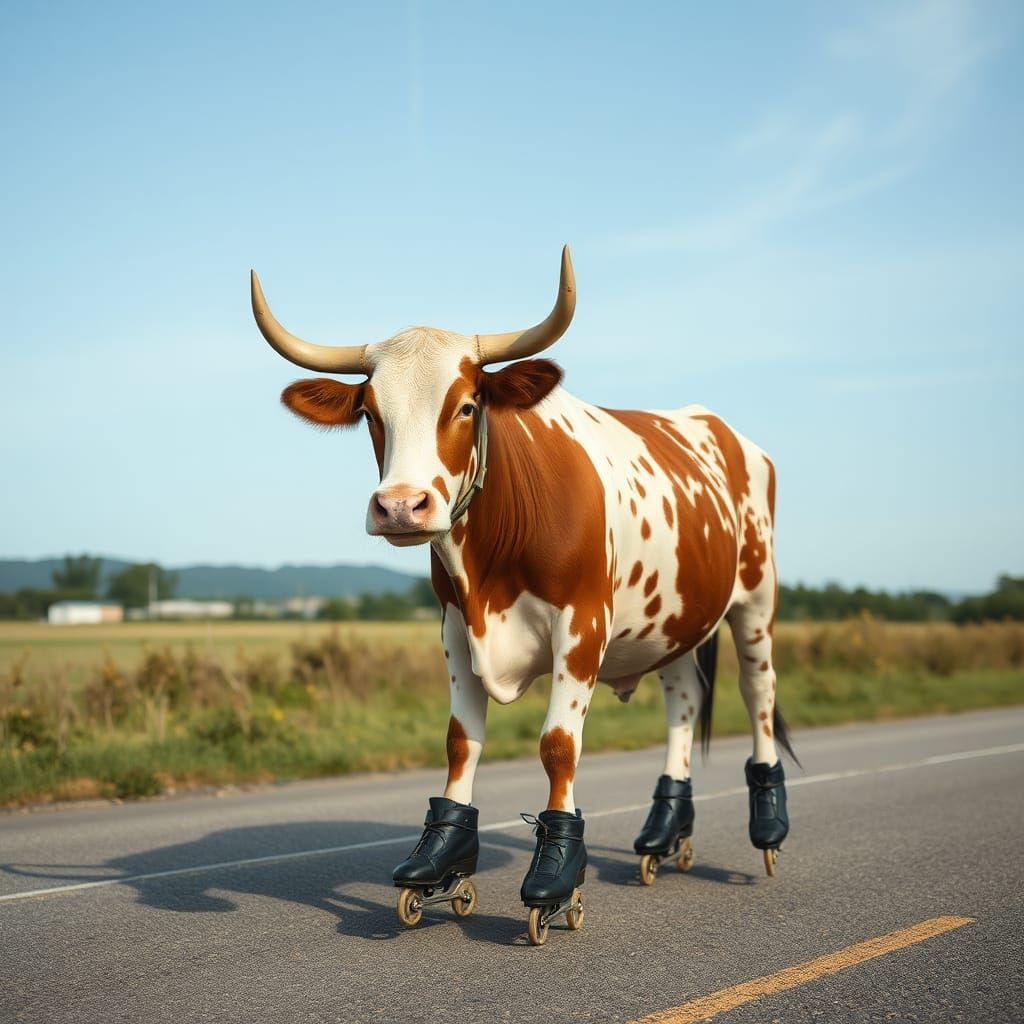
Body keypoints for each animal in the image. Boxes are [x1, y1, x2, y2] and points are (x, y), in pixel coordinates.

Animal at [251, 247, 793, 944]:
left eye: (465, 405)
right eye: (370, 413)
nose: (400, 507)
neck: (492, 563)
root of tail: (717, 425)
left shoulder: (582, 624)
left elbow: (558, 746)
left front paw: (557, 882)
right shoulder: (456, 625)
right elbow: (461, 741)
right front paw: (441, 866)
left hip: (755, 601)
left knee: (758, 696)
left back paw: (768, 829)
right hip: (671, 621)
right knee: (683, 703)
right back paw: (665, 834)